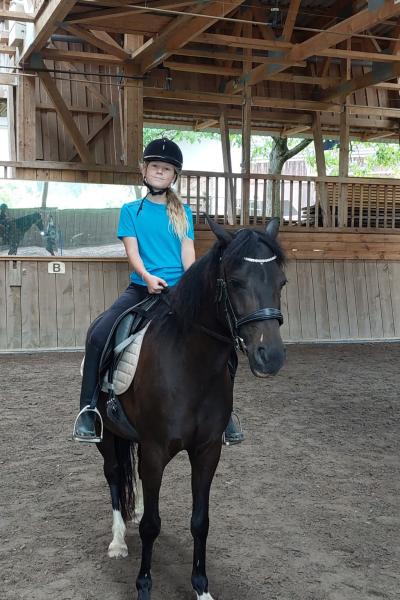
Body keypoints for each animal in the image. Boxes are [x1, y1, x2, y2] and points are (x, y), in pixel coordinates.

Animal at [95, 216, 287, 600]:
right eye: (236, 281)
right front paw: (144, 586)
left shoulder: (207, 451)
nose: (270, 357)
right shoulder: (156, 450)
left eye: (281, 282)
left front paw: (201, 587)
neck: (190, 366)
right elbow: (151, 526)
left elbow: (201, 521)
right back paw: (118, 541)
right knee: (114, 475)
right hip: (107, 435)